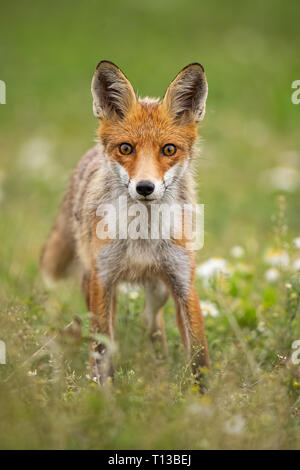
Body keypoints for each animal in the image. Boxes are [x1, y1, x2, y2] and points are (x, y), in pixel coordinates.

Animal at [39, 60, 210, 386]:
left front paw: (205, 397)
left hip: (158, 290)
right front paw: (104, 394)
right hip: (94, 283)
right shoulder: (103, 281)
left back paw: (160, 364)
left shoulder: (184, 282)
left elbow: (198, 356)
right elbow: (102, 351)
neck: (143, 237)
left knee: (151, 323)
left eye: (169, 149)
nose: (144, 187)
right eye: (126, 148)